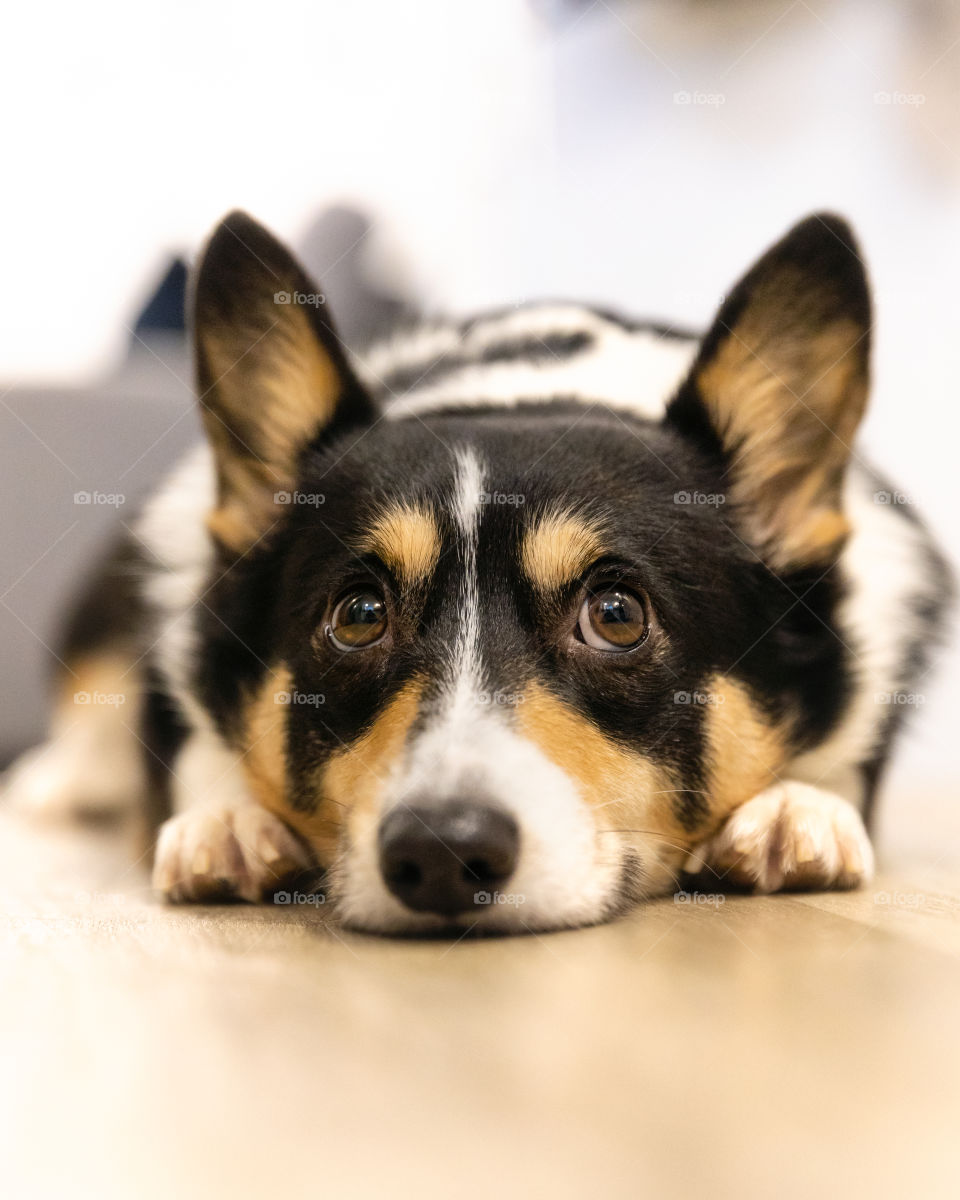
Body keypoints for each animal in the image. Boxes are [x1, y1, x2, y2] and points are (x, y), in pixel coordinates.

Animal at [5, 211, 950, 931]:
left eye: (617, 615)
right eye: (358, 616)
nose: (440, 854)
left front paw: (795, 808)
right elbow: (201, 750)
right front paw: (229, 821)